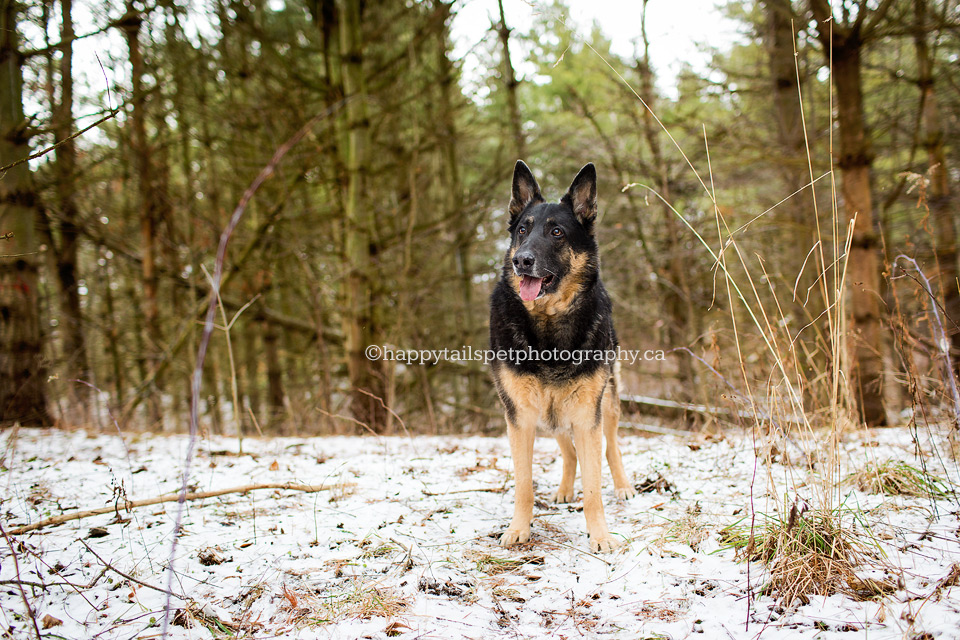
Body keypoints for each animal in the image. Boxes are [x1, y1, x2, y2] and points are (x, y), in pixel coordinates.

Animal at [488, 161, 636, 556]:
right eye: (522, 230)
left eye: (557, 232)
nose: (522, 260)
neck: (549, 325)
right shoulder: (520, 418)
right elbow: (524, 485)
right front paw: (519, 529)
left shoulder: (587, 416)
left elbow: (594, 487)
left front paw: (600, 535)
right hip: (550, 416)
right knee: (568, 453)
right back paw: (565, 490)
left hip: (606, 405)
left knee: (611, 447)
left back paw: (623, 486)